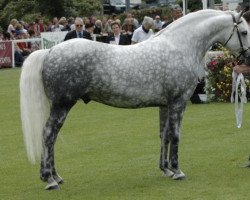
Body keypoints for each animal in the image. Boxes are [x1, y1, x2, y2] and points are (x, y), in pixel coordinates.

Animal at [20, 9, 250, 190]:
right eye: (245, 32)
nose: (247, 59)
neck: (180, 45)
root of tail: (50, 50)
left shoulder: (165, 105)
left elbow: (164, 135)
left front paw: (166, 169)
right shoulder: (178, 102)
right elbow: (175, 135)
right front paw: (177, 171)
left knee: (50, 137)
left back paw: (55, 177)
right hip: (62, 105)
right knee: (48, 135)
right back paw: (50, 179)